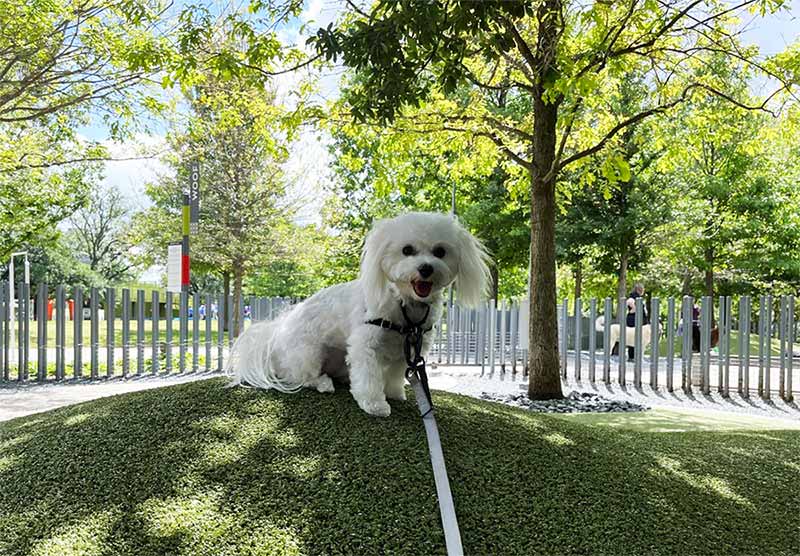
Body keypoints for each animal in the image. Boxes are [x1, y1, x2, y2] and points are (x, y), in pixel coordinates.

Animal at [228, 213, 490, 416]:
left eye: (440, 251)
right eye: (407, 250)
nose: (425, 268)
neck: (405, 307)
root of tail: (275, 336)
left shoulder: (408, 348)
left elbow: (395, 374)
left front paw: (394, 393)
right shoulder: (366, 344)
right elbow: (368, 377)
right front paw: (375, 405)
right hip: (307, 352)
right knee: (299, 376)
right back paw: (323, 383)